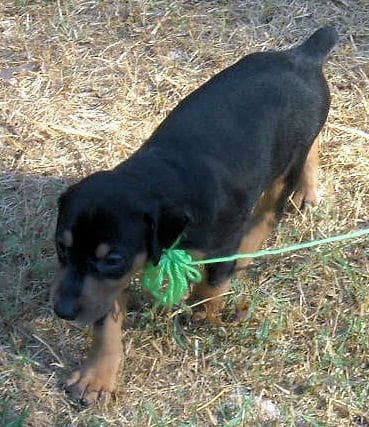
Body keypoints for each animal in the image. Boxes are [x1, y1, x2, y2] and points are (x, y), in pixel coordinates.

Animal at [53, 26, 338, 404]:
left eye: (112, 257)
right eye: (61, 247)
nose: (62, 311)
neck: (158, 178)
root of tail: (303, 55)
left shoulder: (219, 241)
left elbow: (211, 284)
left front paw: (204, 313)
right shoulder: (109, 283)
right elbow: (106, 324)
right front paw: (97, 377)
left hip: (282, 166)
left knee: (269, 210)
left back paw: (252, 246)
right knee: (313, 145)